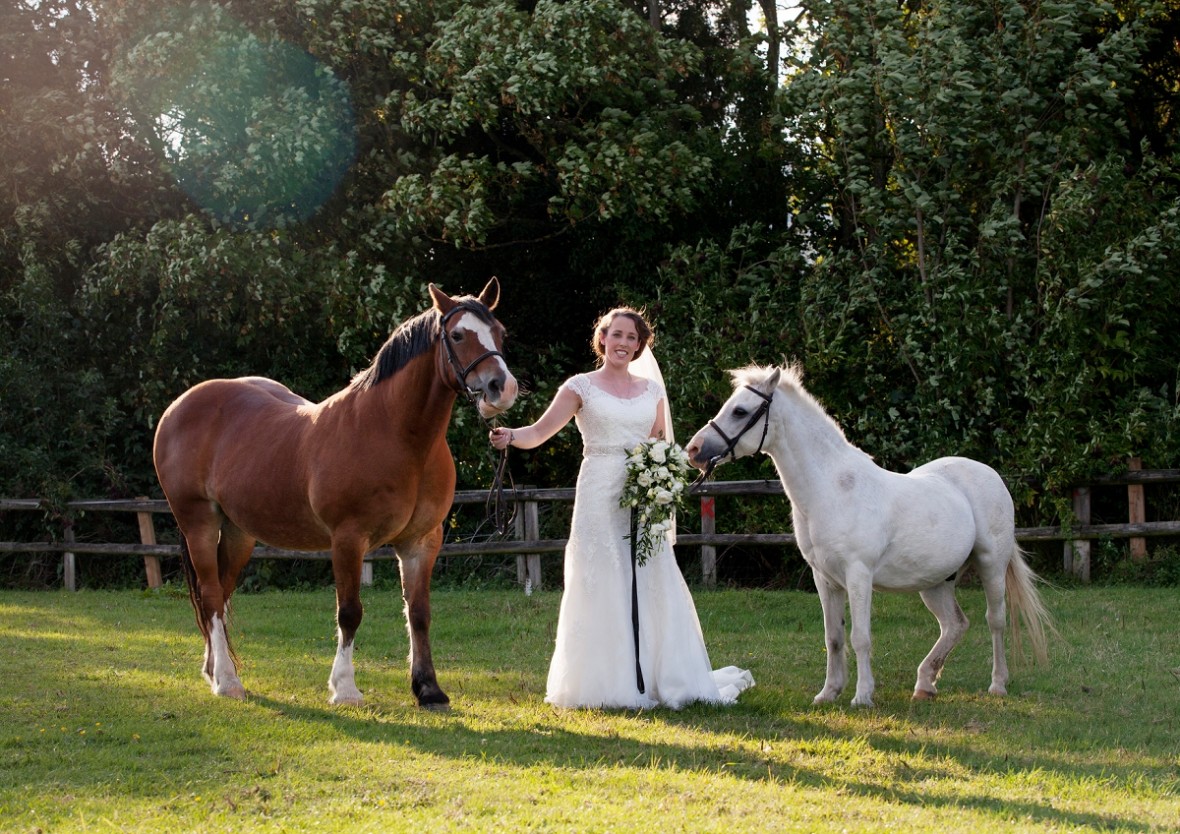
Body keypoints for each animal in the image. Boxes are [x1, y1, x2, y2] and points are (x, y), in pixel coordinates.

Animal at [152, 278, 516, 703]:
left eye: (500, 333)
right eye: (458, 335)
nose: (502, 387)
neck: (396, 434)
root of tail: (180, 406)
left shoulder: (422, 541)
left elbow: (419, 613)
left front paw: (428, 689)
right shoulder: (348, 539)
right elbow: (350, 612)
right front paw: (344, 688)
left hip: (239, 531)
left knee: (221, 596)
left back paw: (214, 671)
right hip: (199, 523)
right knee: (210, 595)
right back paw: (227, 681)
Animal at [684, 363, 1052, 703]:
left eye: (740, 410)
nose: (694, 449)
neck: (832, 488)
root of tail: (990, 474)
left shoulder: (858, 574)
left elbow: (860, 637)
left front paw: (862, 696)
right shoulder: (824, 578)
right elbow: (833, 637)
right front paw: (828, 693)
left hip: (992, 564)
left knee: (995, 620)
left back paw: (997, 684)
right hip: (935, 581)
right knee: (954, 624)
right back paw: (925, 685)